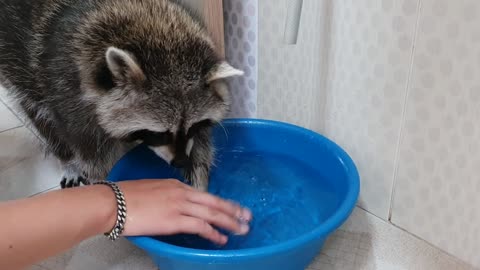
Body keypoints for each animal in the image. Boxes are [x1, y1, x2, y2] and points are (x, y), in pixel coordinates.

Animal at [0, 0, 242, 191]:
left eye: (192, 127)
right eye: (160, 133)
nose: (181, 162)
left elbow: (201, 141)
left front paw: (198, 174)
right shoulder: (68, 91)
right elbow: (94, 155)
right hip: (18, 66)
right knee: (40, 115)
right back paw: (67, 160)